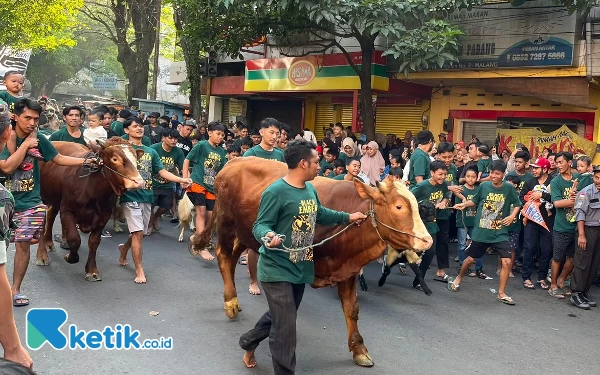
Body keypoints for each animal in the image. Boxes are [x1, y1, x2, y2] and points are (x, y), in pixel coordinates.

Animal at [38, 138, 145, 282]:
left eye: (135, 158)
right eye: (115, 159)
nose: (139, 182)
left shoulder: (103, 217)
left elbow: (94, 242)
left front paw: (92, 271)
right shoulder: (66, 211)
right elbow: (75, 239)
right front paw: (71, 258)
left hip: (55, 198)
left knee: (50, 215)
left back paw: (49, 243)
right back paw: (42, 255)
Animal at [192, 157, 432, 368]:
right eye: (399, 207)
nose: (427, 240)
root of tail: (235, 161)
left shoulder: (347, 269)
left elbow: (352, 309)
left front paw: (359, 350)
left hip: (245, 233)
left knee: (233, 258)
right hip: (226, 223)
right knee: (223, 256)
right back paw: (230, 302)